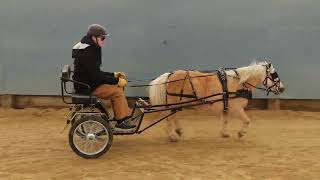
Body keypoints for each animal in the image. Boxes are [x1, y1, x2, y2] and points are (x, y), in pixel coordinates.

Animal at [148, 61, 284, 141]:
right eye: (274, 75)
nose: (282, 88)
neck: (240, 83)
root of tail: (170, 75)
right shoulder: (236, 109)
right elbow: (247, 120)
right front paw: (241, 133)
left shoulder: (226, 107)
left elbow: (225, 120)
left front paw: (224, 133)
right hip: (174, 102)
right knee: (170, 117)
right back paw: (172, 135)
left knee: (172, 116)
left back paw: (177, 131)